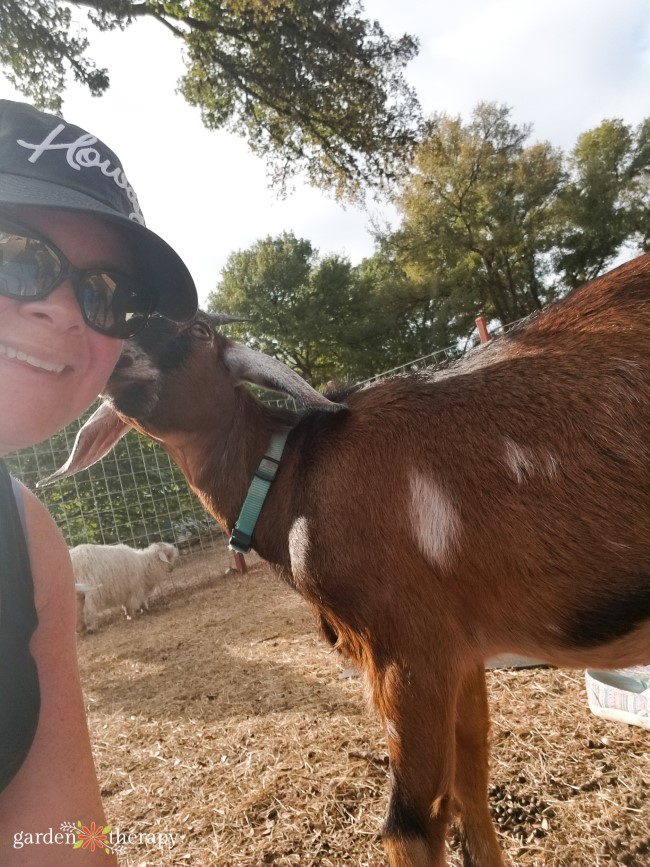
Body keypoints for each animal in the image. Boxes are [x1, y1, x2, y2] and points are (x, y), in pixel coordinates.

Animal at [41, 256, 648, 867]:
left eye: (198, 332)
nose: (115, 357)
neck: (293, 475)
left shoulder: (409, 648)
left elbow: (410, 824)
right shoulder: (463, 650)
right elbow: (470, 789)